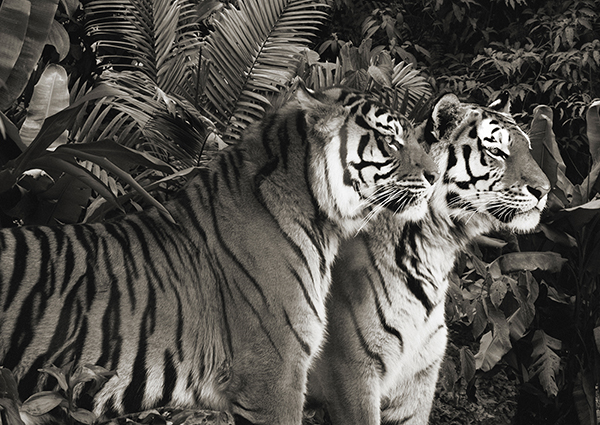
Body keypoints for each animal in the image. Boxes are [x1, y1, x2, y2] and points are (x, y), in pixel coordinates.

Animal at [308, 93, 552, 424]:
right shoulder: (352, 373)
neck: (436, 248)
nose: (545, 190)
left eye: (527, 147)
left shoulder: (418, 376)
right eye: (496, 151)